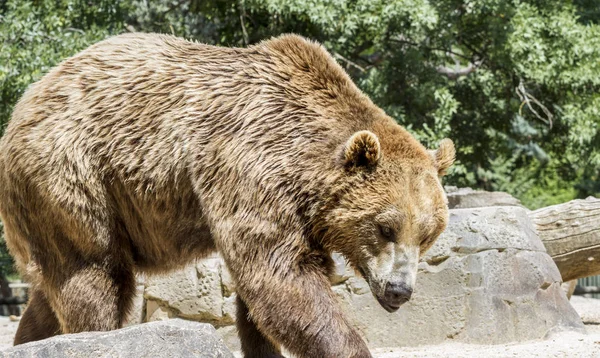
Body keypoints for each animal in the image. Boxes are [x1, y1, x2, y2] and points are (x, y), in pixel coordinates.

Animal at [0, 33, 454, 358]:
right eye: (385, 227)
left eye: (427, 235)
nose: (399, 290)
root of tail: (24, 104)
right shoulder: (252, 165)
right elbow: (280, 277)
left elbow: (261, 299)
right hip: (73, 176)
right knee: (96, 274)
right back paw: (95, 335)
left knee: (50, 290)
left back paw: (31, 341)